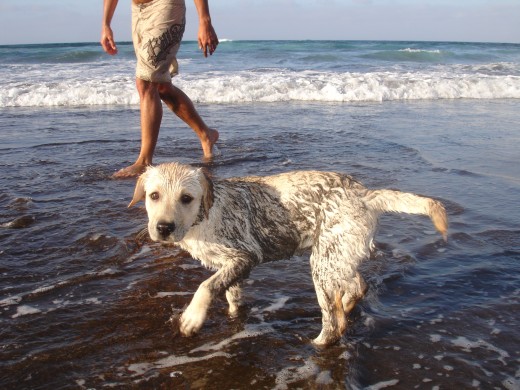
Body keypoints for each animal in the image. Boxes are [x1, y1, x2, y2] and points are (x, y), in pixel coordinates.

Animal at [129, 163, 446, 346]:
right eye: (153, 196)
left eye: (186, 198)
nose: (163, 228)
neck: (204, 216)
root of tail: (365, 194)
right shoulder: (230, 266)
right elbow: (231, 295)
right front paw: (233, 316)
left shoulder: (245, 256)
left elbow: (206, 286)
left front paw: (192, 319)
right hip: (337, 254)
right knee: (358, 286)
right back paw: (346, 304)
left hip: (321, 263)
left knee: (334, 324)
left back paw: (319, 342)